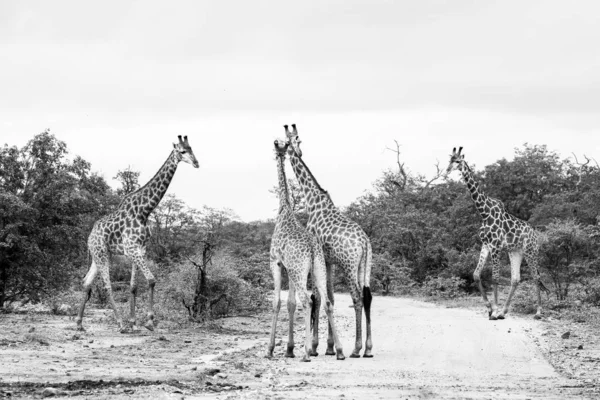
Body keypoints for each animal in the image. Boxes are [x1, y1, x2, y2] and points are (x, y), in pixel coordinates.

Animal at [76, 136, 199, 332]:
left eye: (192, 148)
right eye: (182, 151)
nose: (196, 163)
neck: (145, 210)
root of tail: (90, 236)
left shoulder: (140, 249)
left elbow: (134, 285)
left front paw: (134, 322)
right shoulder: (132, 249)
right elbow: (151, 279)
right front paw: (148, 321)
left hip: (100, 254)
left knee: (86, 282)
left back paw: (79, 323)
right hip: (101, 253)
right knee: (107, 286)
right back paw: (120, 324)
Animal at [266, 138, 344, 362]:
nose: (278, 150)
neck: (284, 209)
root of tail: (311, 247)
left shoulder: (276, 263)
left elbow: (277, 302)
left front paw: (271, 349)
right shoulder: (289, 267)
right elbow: (290, 303)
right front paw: (289, 349)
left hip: (300, 270)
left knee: (308, 302)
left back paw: (307, 353)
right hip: (317, 267)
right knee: (327, 302)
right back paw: (339, 351)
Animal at [284, 123, 372, 358]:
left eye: (297, 139)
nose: (297, 152)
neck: (312, 201)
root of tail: (365, 242)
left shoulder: (320, 257)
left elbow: (317, 298)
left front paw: (315, 347)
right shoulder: (329, 260)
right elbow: (329, 296)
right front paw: (330, 347)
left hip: (349, 265)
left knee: (357, 297)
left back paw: (356, 349)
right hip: (364, 265)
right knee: (368, 296)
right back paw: (368, 349)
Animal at [446, 148, 548, 320]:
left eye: (458, 161)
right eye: (449, 160)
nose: (447, 171)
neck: (484, 213)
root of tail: (535, 235)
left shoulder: (496, 246)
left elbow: (495, 278)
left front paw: (493, 310)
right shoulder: (486, 244)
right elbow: (476, 274)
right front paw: (490, 308)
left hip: (531, 251)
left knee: (536, 277)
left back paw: (538, 312)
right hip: (516, 252)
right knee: (515, 279)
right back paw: (504, 312)